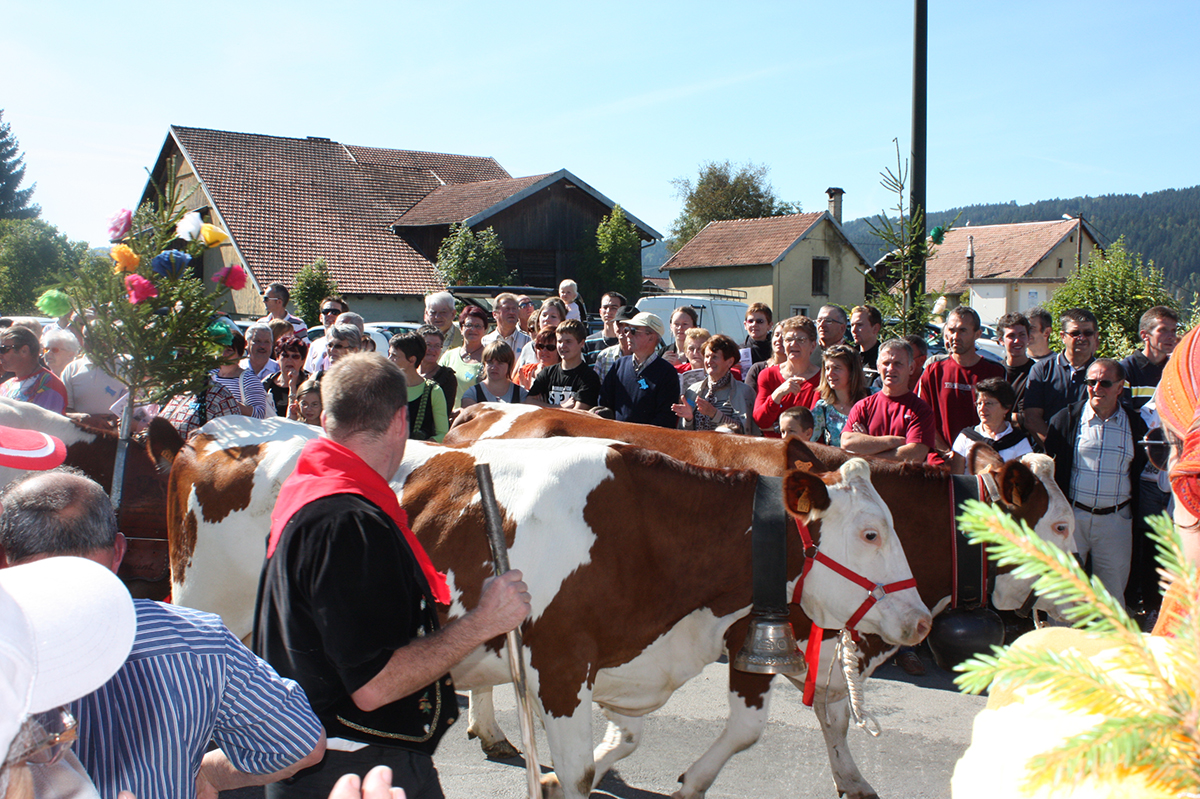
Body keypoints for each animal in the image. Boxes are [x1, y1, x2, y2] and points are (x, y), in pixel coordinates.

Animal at [159, 412, 926, 796]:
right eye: (870, 532)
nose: (920, 619)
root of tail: (211, 430)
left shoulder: (624, 659)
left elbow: (632, 742)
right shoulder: (560, 667)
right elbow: (587, 769)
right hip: (202, 602)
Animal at [444, 405, 1080, 796]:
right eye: (1063, 526)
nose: (1091, 602)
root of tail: (485, 411)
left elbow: (834, 713)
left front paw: (852, 780)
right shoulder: (753, 633)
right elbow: (748, 727)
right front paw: (681, 781)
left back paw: (489, 728)